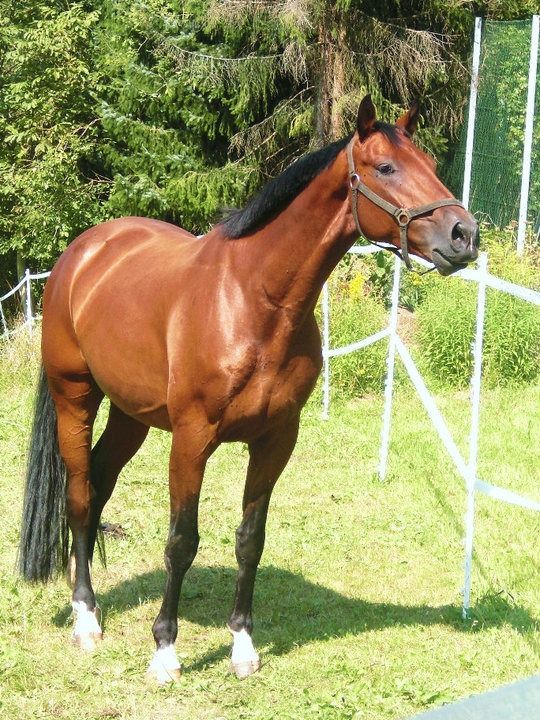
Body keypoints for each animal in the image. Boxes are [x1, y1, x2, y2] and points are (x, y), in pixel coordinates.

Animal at [19, 96, 479, 683]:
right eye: (385, 168)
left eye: (431, 166)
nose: (464, 235)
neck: (252, 299)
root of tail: (82, 253)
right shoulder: (191, 441)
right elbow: (181, 541)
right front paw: (165, 652)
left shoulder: (276, 440)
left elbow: (249, 540)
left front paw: (242, 645)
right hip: (74, 397)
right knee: (79, 498)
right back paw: (85, 619)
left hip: (131, 416)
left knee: (98, 487)